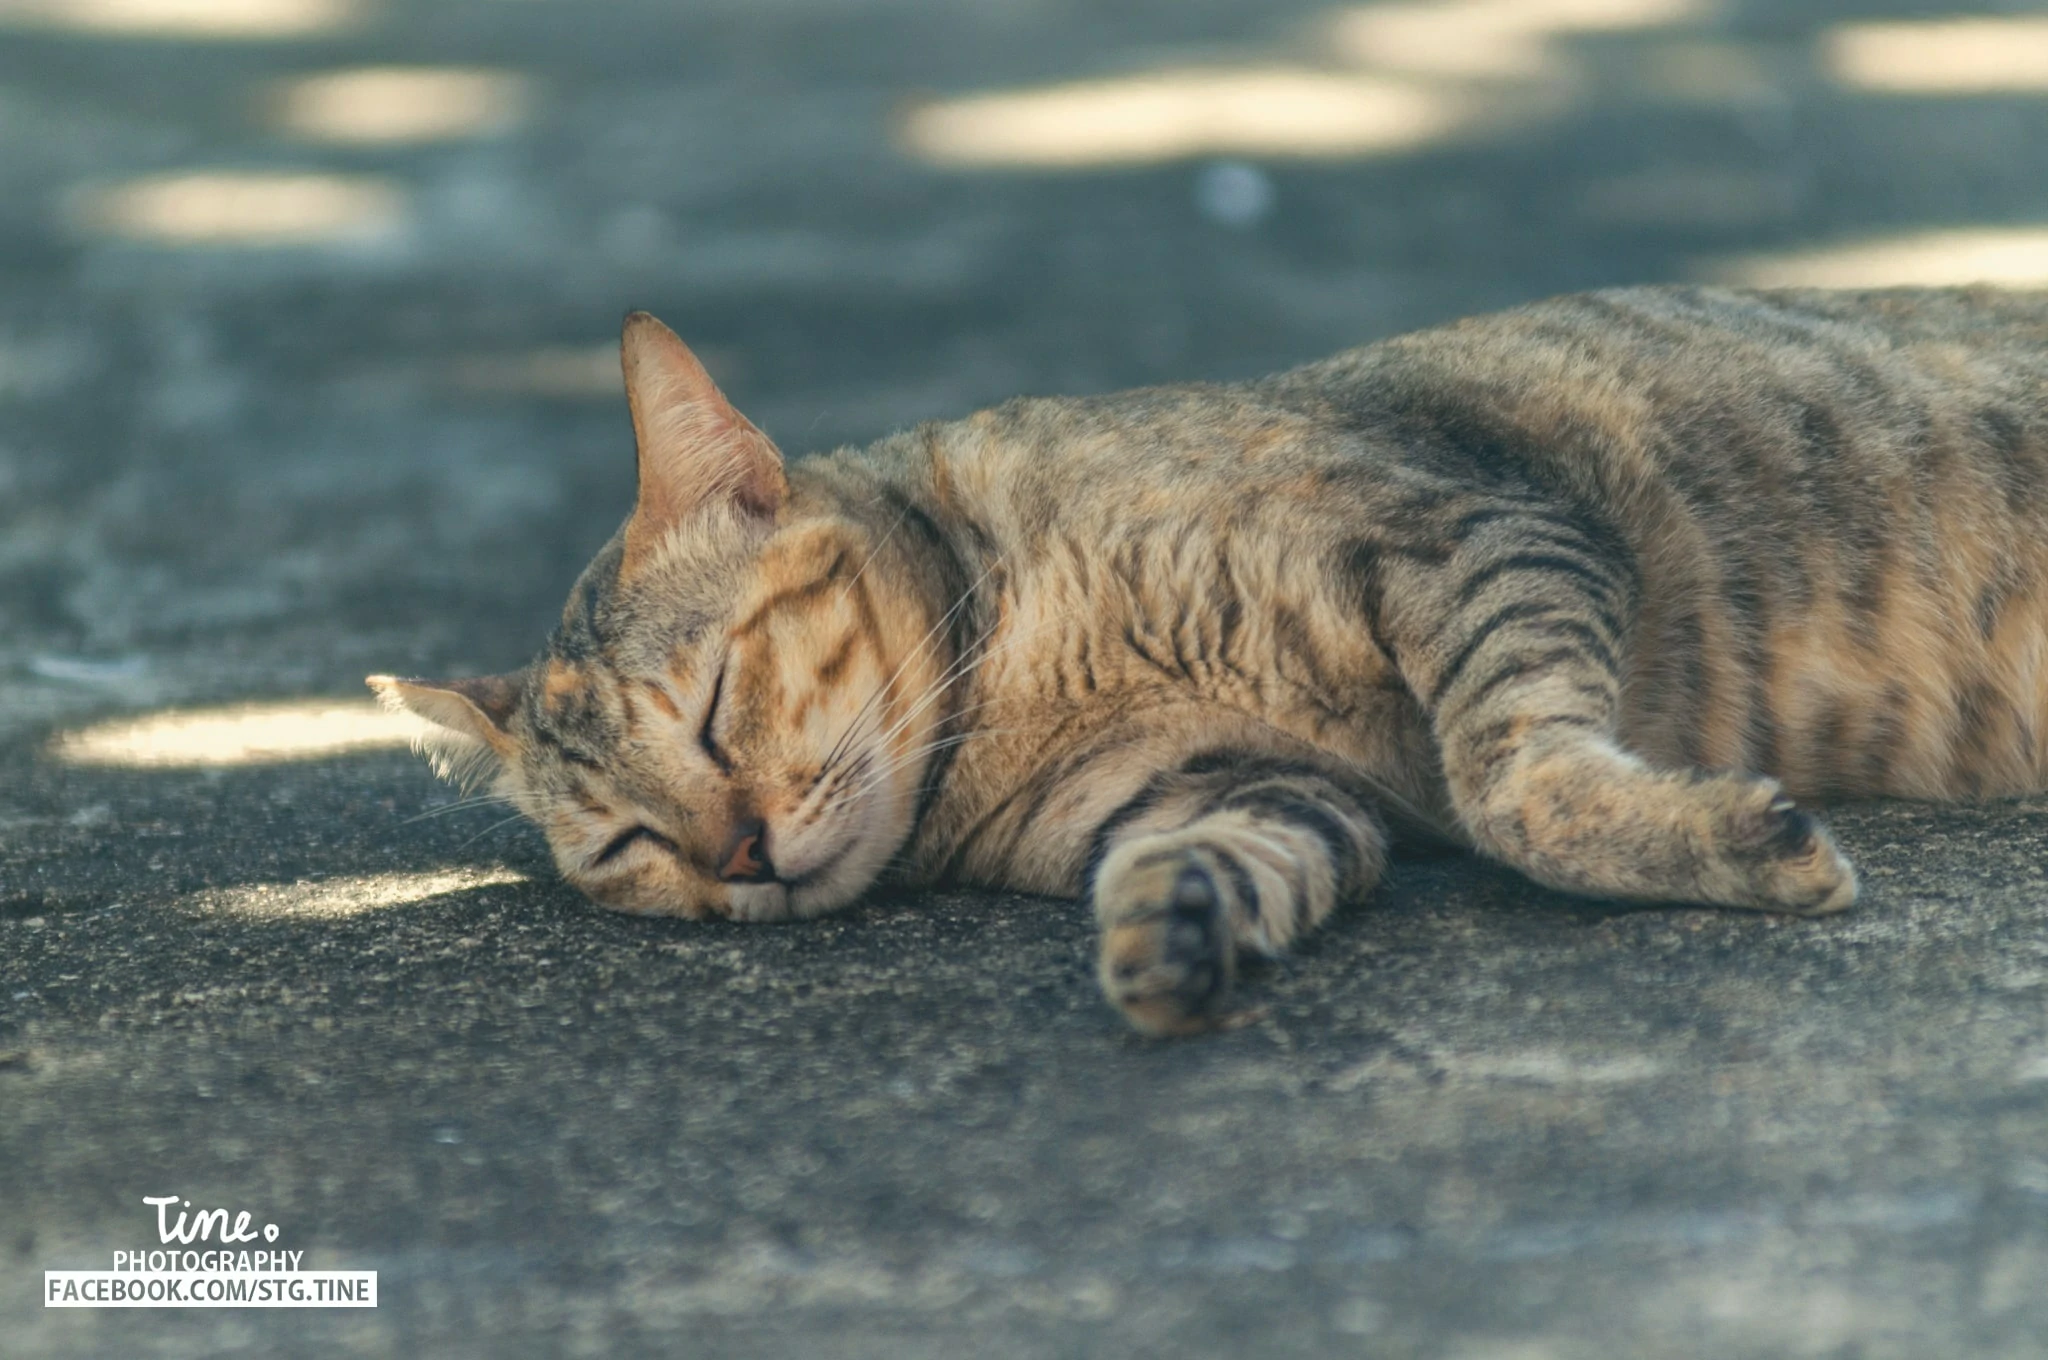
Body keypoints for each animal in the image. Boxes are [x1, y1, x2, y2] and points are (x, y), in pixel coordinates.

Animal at [372, 284, 2048, 1032]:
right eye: (627, 846)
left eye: (716, 706)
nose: (737, 854)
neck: (1017, 684)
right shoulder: (1246, 787)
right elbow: (1218, 856)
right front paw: (1170, 930)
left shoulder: (1479, 533)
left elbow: (1522, 784)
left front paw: (1729, 842)